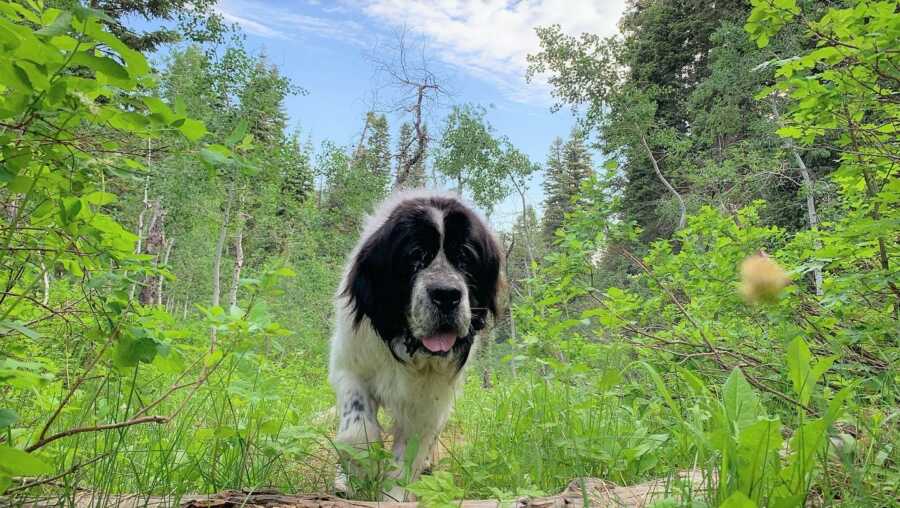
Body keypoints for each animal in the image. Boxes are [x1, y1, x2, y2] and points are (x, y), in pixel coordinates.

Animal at [326, 190, 502, 500]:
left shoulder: (429, 402)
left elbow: (408, 454)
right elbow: (356, 429)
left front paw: (392, 497)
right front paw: (360, 469)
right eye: (415, 256)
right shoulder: (348, 365)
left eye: (465, 257)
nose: (446, 295)